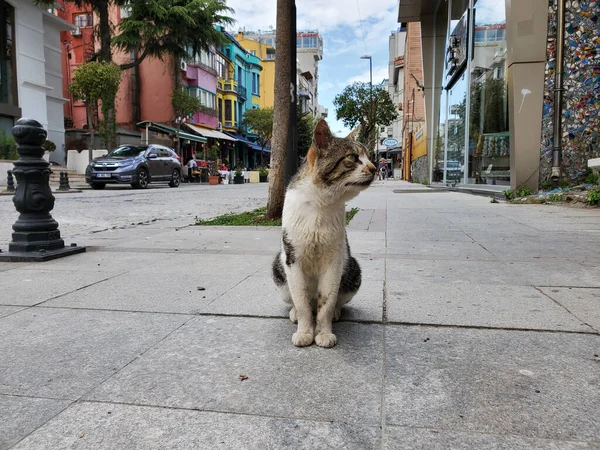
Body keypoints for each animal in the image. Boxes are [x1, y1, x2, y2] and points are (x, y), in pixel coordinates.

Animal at [272, 118, 376, 348]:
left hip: (353, 269)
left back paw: (336, 312)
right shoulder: (293, 258)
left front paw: (323, 332)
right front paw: (304, 331)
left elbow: (326, 301)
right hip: (278, 267)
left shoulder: (334, 259)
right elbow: (301, 301)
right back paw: (295, 313)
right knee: (300, 301)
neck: (320, 203)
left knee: (332, 301)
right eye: (352, 157)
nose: (375, 168)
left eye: (369, 156)